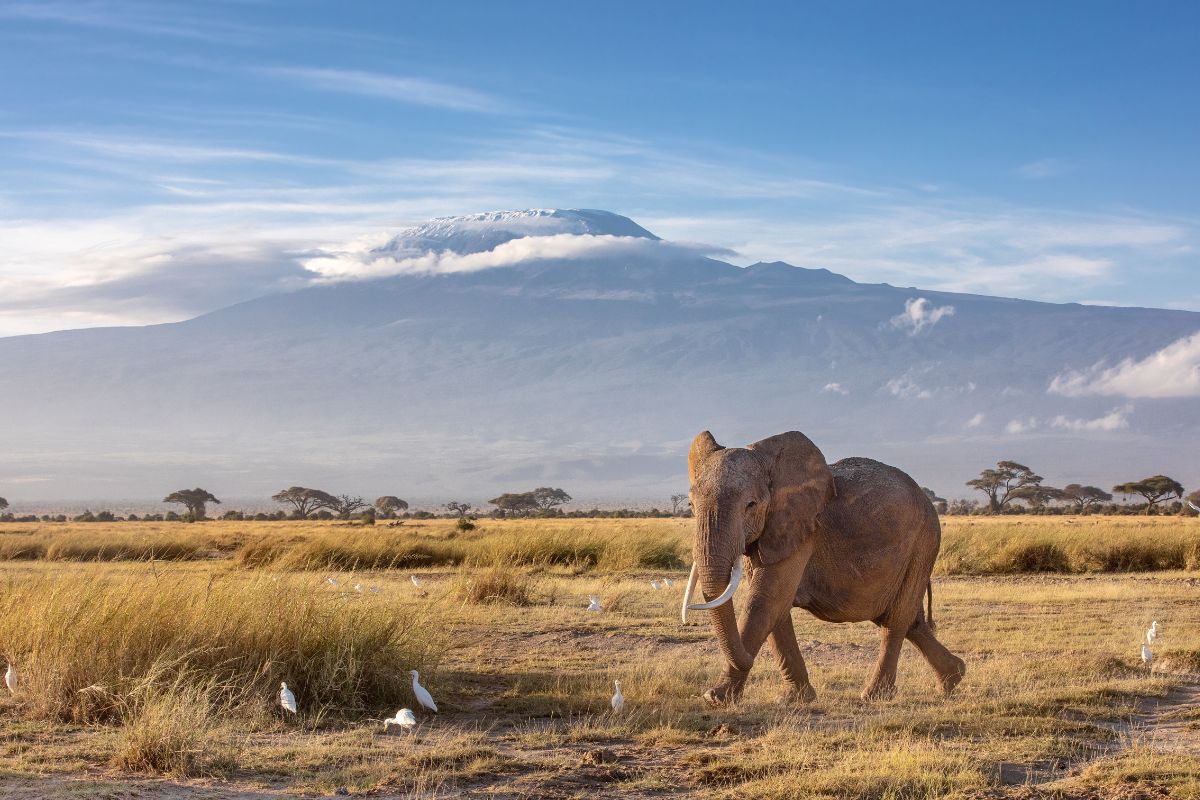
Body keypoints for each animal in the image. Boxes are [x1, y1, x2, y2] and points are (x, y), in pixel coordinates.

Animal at [681, 429, 969, 705]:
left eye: (750, 505)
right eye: (691, 506)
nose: (750, 660)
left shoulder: (802, 529)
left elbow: (765, 603)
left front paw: (715, 698)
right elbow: (777, 609)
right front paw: (795, 698)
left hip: (923, 542)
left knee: (896, 619)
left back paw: (874, 695)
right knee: (910, 620)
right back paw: (953, 677)